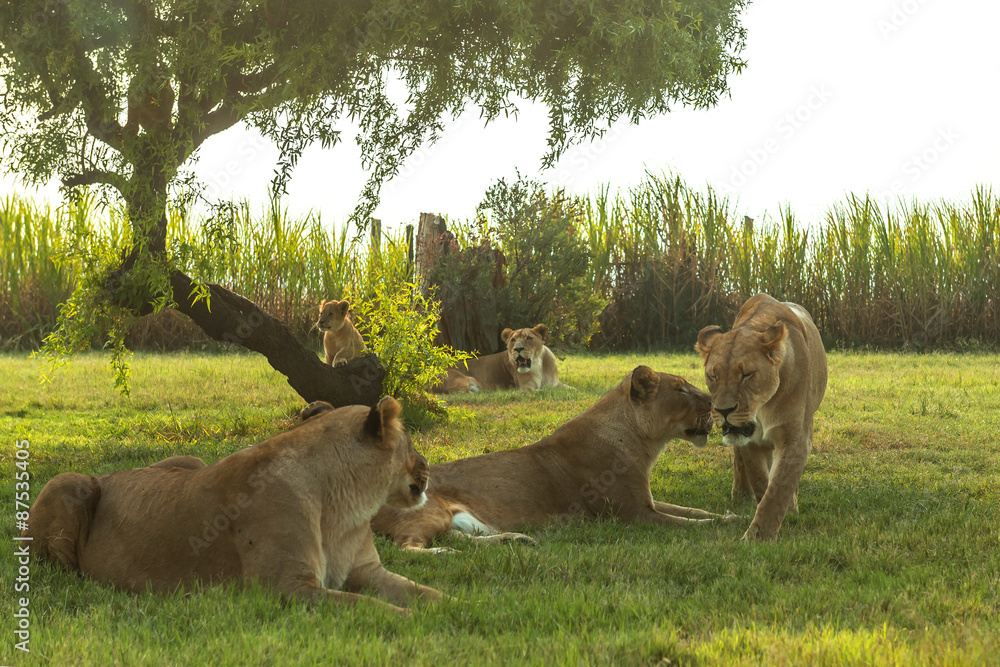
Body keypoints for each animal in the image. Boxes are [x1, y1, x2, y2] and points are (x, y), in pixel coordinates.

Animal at [23, 397, 444, 615]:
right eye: (410, 441)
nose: (428, 467)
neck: (348, 509)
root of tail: (109, 473)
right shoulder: (288, 589)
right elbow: (372, 607)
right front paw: (418, 624)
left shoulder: (367, 571)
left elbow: (424, 592)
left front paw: (454, 608)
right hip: (66, 482)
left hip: (191, 459)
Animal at [374, 366, 727, 551]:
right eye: (681, 389)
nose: (713, 401)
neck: (643, 444)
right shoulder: (634, 514)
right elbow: (688, 523)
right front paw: (722, 527)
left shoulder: (647, 502)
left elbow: (692, 510)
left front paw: (728, 515)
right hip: (428, 512)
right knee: (409, 547)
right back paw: (447, 552)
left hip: (463, 521)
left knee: (465, 539)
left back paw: (516, 539)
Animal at [434, 324, 570, 393]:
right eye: (513, 340)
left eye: (528, 338)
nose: (518, 349)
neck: (538, 365)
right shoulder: (526, 388)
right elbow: (546, 390)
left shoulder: (556, 383)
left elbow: (570, 388)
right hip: (462, 380)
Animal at [696, 293, 828, 542]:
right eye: (713, 376)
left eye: (746, 375)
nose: (723, 410)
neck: (763, 408)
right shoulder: (751, 442)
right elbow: (760, 482)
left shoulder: (796, 438)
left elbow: (779, 486)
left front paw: (759, 536)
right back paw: (739, 495)